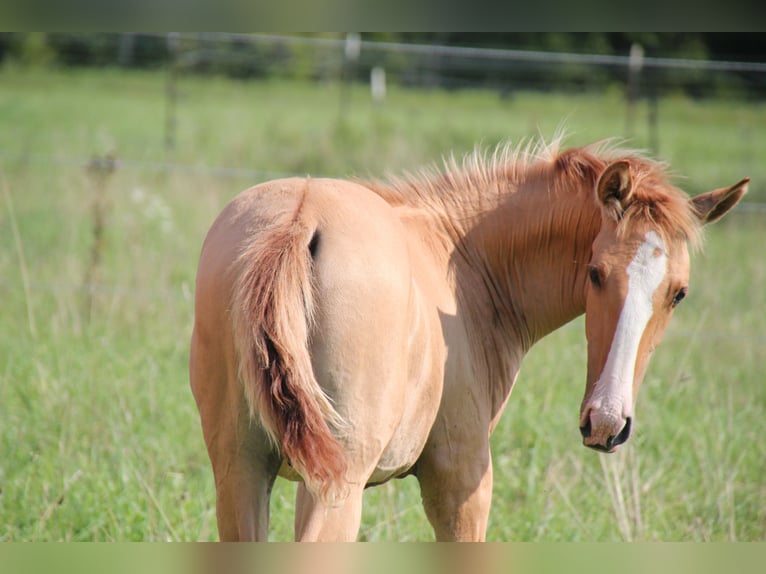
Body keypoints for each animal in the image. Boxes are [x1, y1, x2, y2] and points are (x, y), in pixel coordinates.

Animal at [190, 137, 747, 541]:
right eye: (595, 273)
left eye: (679, 294)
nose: (607, 422)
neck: (463, 260)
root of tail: (299, 219)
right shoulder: (462, 482)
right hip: (335, 489)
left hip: (238, 474)